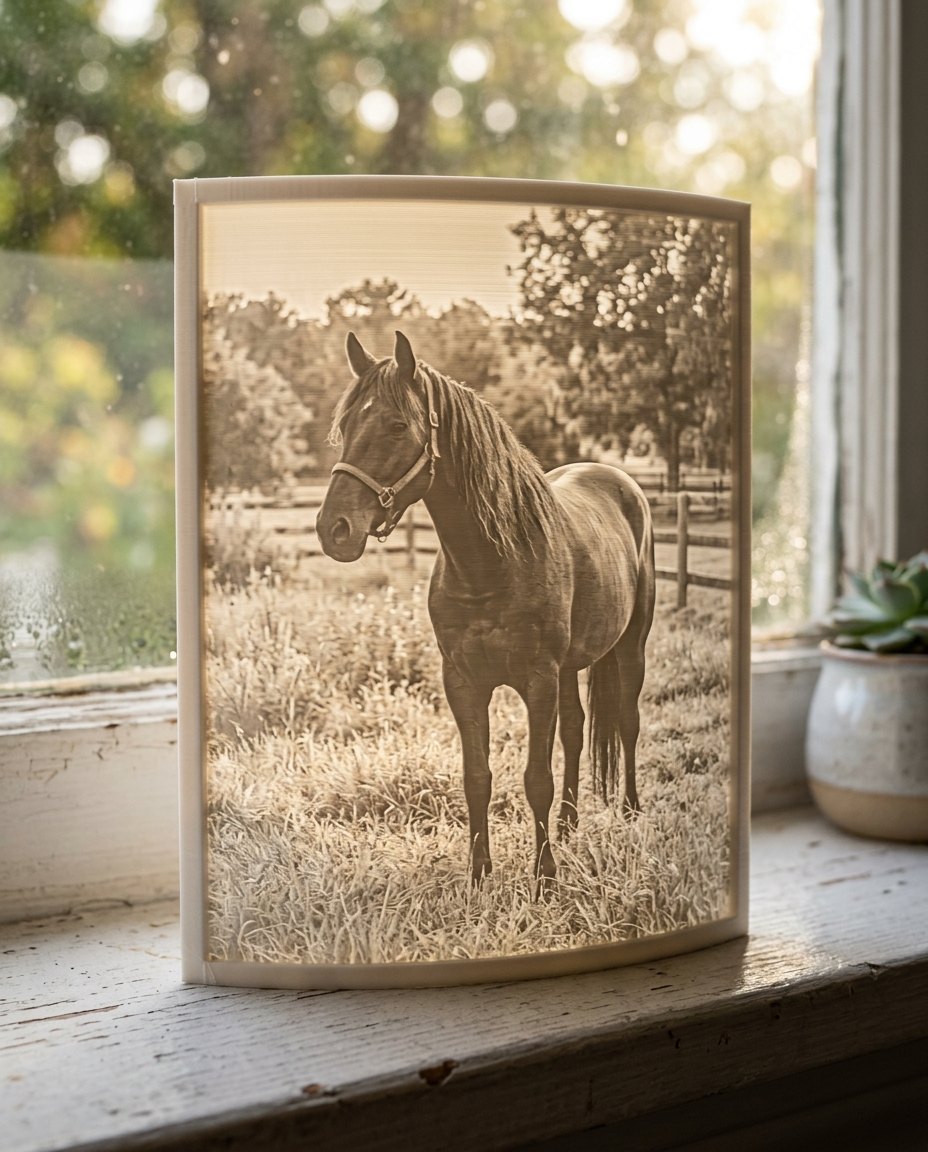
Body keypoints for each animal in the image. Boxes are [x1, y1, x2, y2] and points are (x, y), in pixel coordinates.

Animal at [316, 331, 655, 890]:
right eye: (344, 428)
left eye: (396, 425)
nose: (334, 529)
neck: (492, 564)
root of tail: (619, 479)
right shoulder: (463, 681)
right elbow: (477, 777)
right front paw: (479, 873)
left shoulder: (537, 679)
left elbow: (535, 779)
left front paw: (545, 877)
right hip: (570, 669)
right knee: (575, 731)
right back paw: (569, 824)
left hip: (630, 646)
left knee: (627, 721)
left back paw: (629, 809)